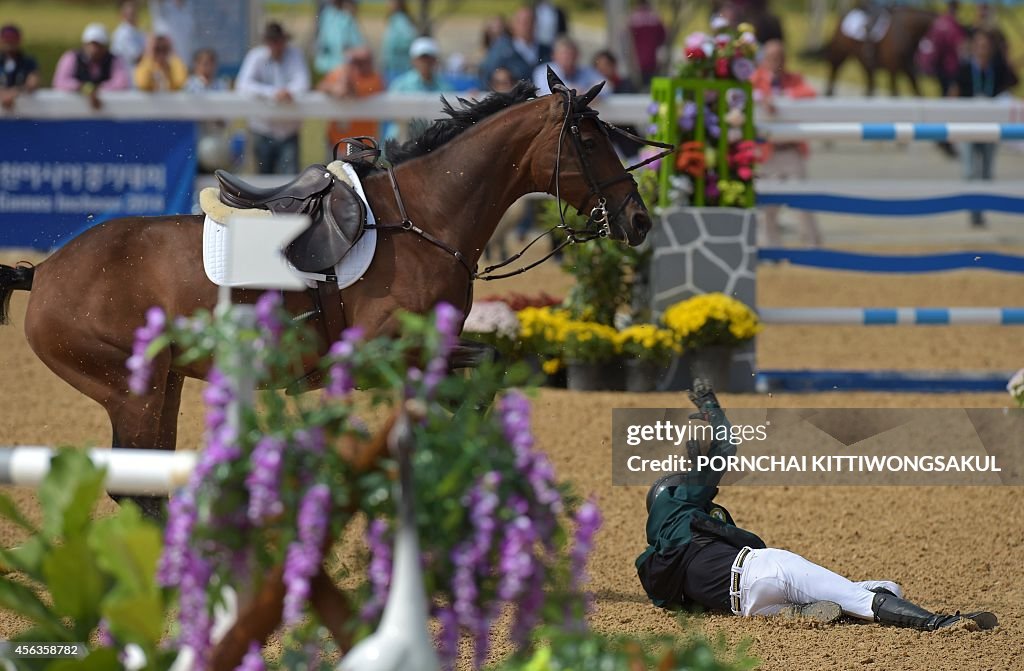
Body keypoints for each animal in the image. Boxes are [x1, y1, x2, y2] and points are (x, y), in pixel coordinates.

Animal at [0, 73, 651, 514]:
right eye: (590, 139)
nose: (639, 220)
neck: (422, 221)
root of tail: (47, 271)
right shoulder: (382, 354)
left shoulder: (428, 348)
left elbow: (487, 367)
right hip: (131, 389)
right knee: (137, 489)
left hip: (164, 385)